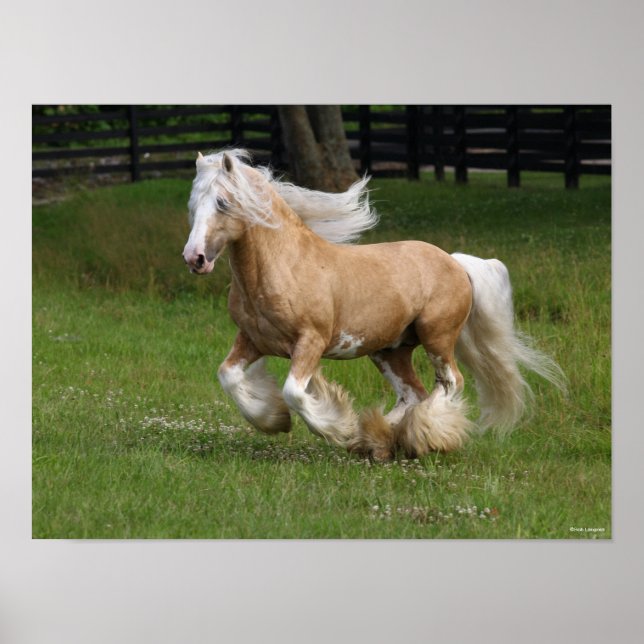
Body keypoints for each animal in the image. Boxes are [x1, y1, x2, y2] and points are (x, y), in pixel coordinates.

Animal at [182, 149, 564, 460]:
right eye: (192, 205)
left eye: (222, 202)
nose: (194, 258)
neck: (284, 266)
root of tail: (456, 262)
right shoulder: (251, 340)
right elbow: (228, 376)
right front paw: (273, 420)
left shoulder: (310, 342)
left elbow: (294, 392)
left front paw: (335, 428)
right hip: (390, 350)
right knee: (413, 393)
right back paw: (380, 440)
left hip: (437, 337)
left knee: (450, 383)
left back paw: (422, 437)